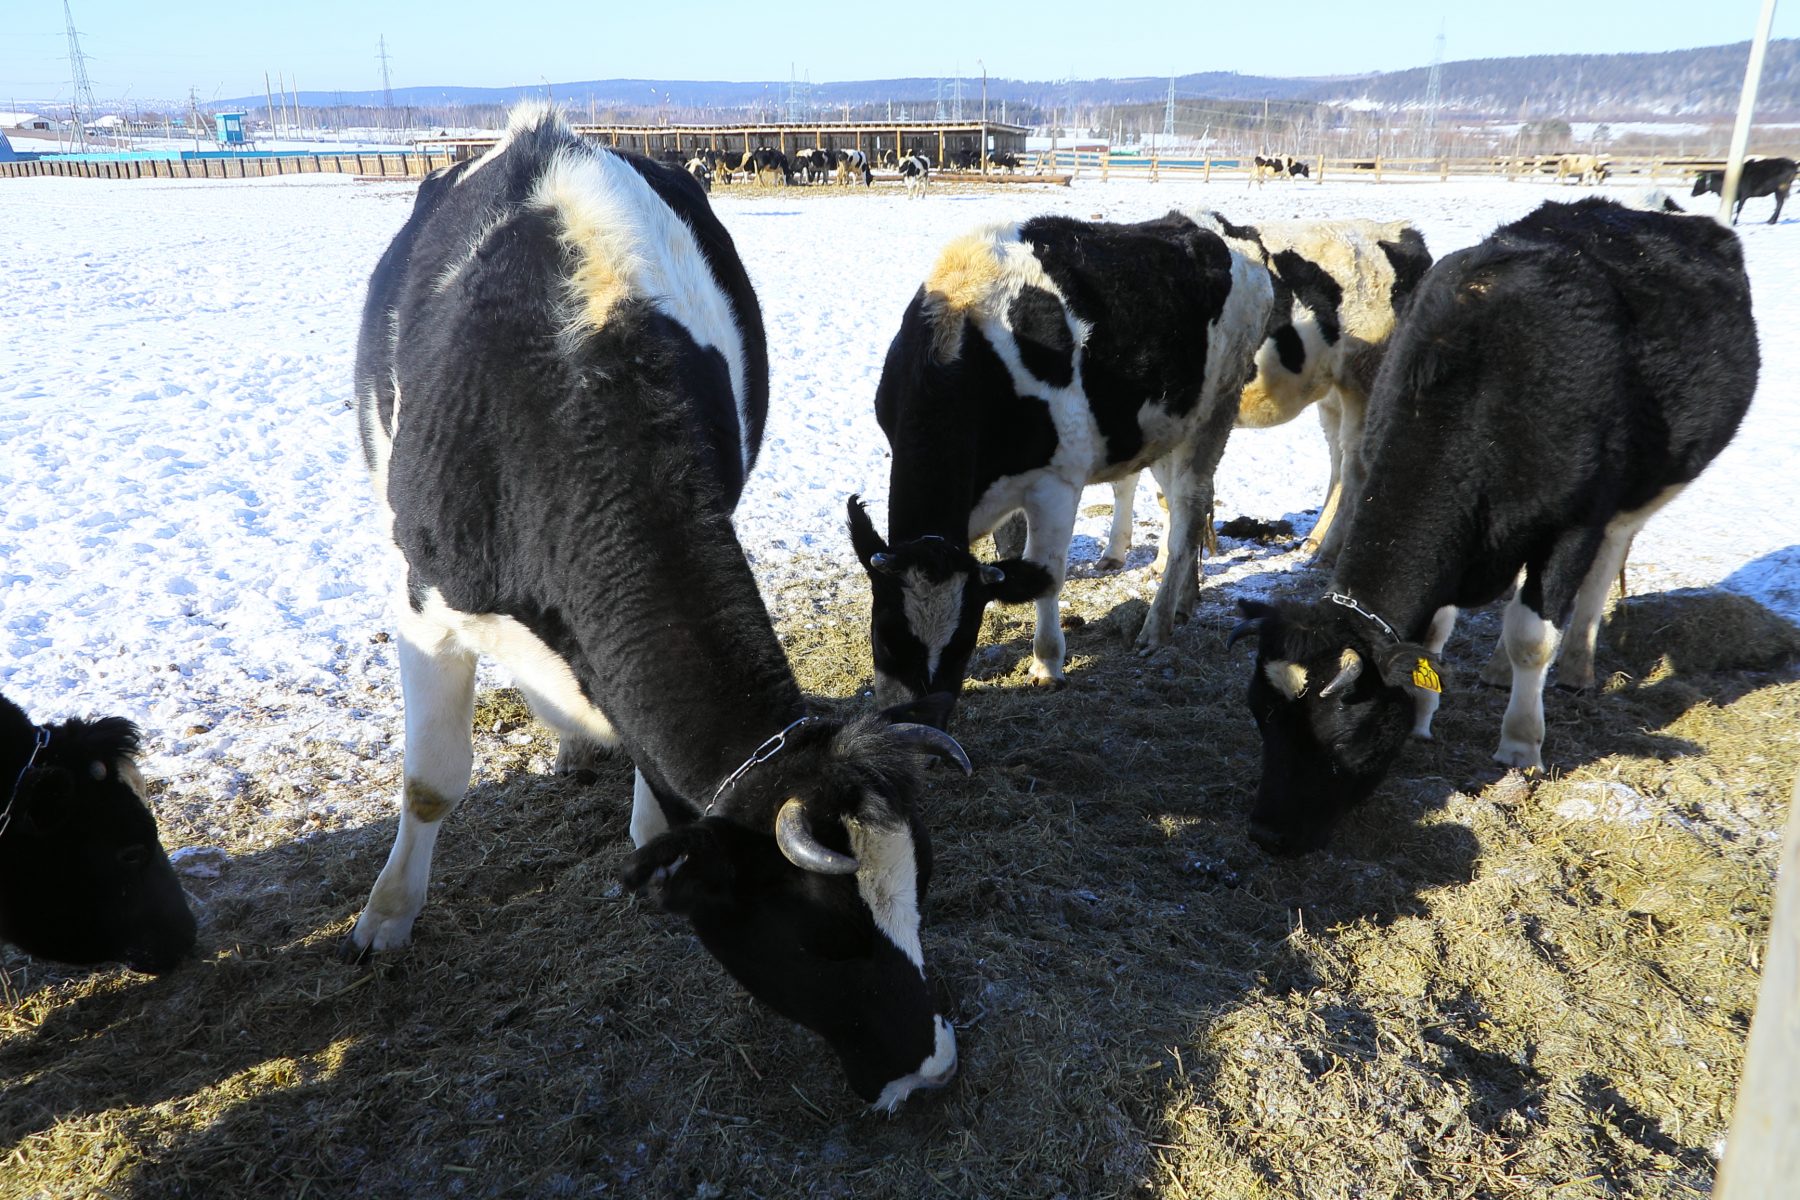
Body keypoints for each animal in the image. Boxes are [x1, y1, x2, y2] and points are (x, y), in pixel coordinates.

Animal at [351, 107, 972, 1115]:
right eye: (829, 935)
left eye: (925, 891)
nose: (932, 1069)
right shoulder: (422, 606)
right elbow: (433, 781)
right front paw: (387, 917)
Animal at [849, 213, 1274, 723]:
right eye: (886, 636)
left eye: (962, 645)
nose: (916, 721)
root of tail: (1221, 226)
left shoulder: (1056, 484)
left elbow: (1046, 572)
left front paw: (1047, 663)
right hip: (1164, 424)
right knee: (1183, 505)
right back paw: (1183, 598)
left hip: (1216, 411)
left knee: (1188, 513)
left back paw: (1156, 627)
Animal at [1231, 197, 1749, 852]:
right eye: (1259, 718)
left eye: (1344, 731)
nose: (1267, 833)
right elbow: (1433, 635)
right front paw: (1426, 715)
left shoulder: (1574, 522)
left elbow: (1534, 635)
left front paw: (1521, 744)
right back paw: (1500, 668)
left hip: (1643, 489)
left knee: (1604, 563)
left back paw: (1574, 665)